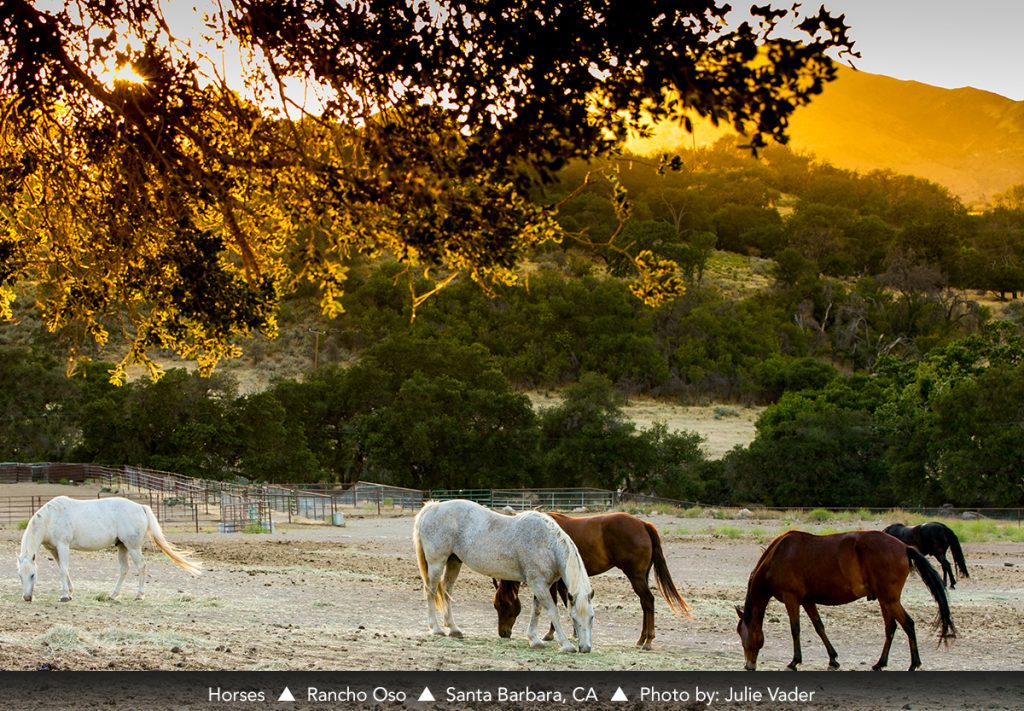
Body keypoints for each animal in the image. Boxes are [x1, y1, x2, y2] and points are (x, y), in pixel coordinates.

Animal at [18, 497, 200, 602]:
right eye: (20, 575)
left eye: (33, 575)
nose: (27, 597)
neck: (50, 518)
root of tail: (140, 507)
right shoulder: (53, 549)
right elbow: (63, 569)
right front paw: (70, 592)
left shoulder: (63, 546)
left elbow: (63, 570)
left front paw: (64, 596)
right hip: (123, 546)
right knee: (124, 569)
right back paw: (113, 595)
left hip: (133, 547)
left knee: (141, 567)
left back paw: (139, 595)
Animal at [411, 497, 598, 655]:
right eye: (573, 618)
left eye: (592, 617)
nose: (585, 648)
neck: (547, 544)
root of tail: (433, 507)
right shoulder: (538, 584)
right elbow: (552, 611)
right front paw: (566, 645)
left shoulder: (542, 585)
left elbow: (536, 610)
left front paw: (534, 640)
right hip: (437, 563)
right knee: (431, 591)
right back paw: (436, 629)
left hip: (454, 562)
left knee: (446, 591)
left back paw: (454, 629)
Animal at [493, 512, 692, 651]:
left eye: (501, 606)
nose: (503, 634)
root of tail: (643, 524)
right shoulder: (563, 581)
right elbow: (566, 601)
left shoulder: (552, 581)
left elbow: (554, 602)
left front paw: (550, 634)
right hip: (641, 576)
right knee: (645, 603)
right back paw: (642, 639)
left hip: (635, 576)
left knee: (648, 601)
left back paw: (648, 641)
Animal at [733, 528, 954, 672]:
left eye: (741, 633)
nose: (749, 665)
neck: (778, 556)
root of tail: (904, 547)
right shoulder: (807, 600)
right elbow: (819, 627)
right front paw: (833, 659)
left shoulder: (791, 598)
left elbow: (795, 629)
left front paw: (794, 662)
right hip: (885, 601)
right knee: (891, 628)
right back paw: (880, 663)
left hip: (890, 600)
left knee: (908, 624)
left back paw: (913, 664)